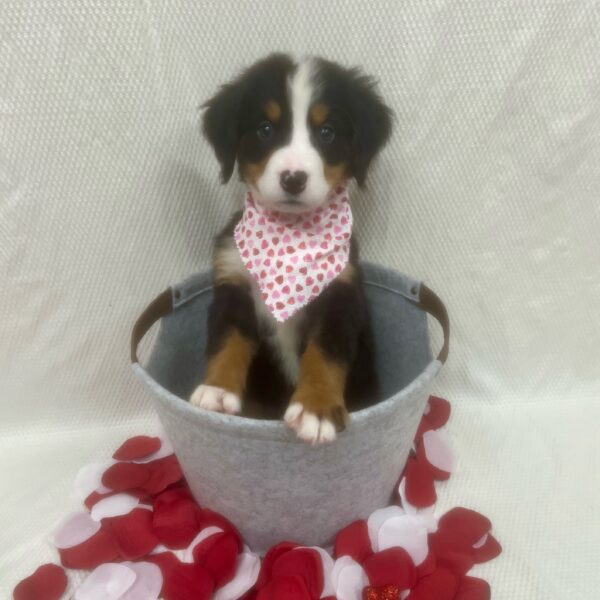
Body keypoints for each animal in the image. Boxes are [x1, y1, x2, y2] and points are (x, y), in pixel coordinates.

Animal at [190, 54, 392, 442]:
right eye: (265, 129)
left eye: (327, 133)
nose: (294, 179)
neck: (289, 234)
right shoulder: (232, 284)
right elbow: (227, 339)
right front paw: (217, 391)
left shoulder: (340, 296)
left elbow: (325, 353)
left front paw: (316, 409)